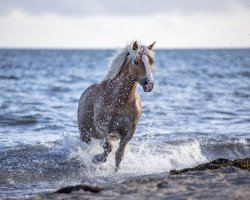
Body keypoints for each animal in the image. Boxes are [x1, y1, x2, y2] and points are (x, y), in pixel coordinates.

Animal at [77, 41, 156, 172]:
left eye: (152, 61)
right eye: (136, 61)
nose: (149, 84)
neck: (119, 101)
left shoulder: (128, 132)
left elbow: (119, 154)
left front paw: (116, 172)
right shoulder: (102, 127)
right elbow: (108, 147)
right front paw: (96, 159)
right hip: (85, 134)